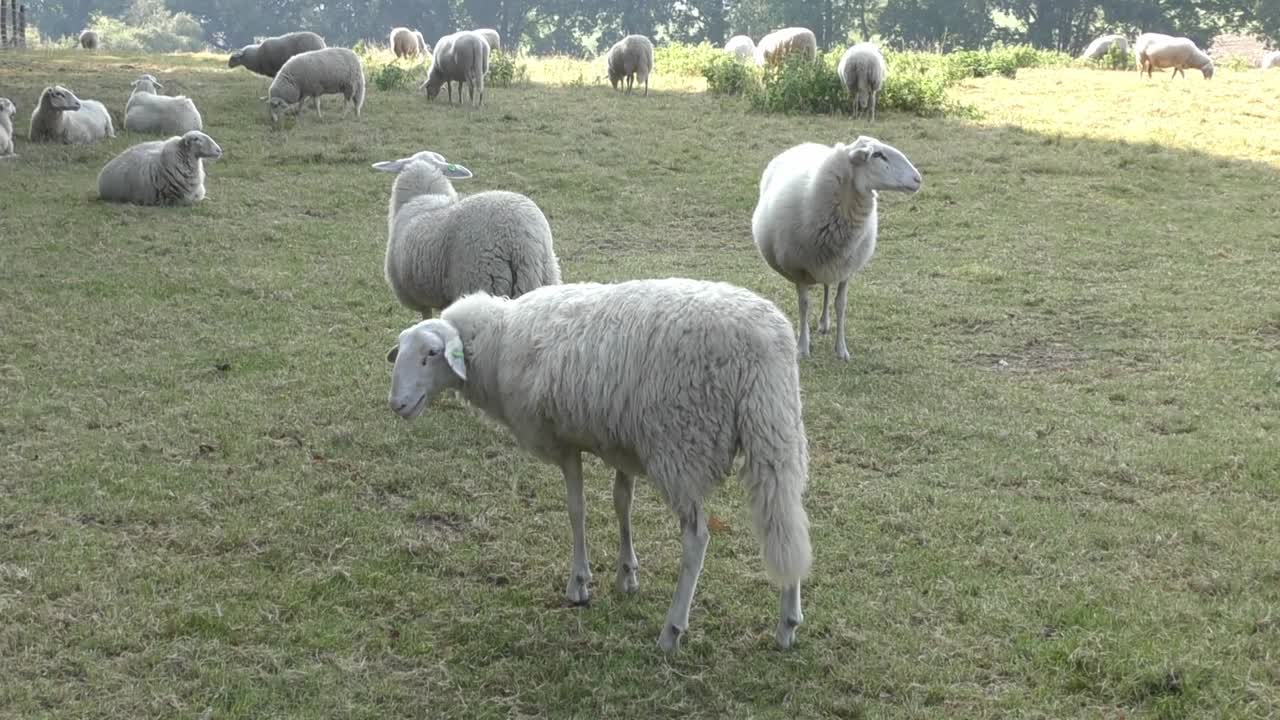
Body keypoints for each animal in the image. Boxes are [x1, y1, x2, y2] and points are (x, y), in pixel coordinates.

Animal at [384, 277, 812, 651]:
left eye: (430, 354)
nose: (397, 405)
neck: (500, 341)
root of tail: (764, 343)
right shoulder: (624, 442)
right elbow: (622, 503)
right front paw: (627, 575)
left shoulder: (563, 441)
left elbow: (577, 509)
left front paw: (579, 583)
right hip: (777, 431)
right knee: (785, 522)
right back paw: (788, 624)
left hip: (682, 444)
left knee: (697, 539)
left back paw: (672, 631)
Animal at [752, 137, 922, 361]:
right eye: (877, 155)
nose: (918, 179)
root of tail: (806, 143)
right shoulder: (799, 270)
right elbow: (804, 304)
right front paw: (802, 347)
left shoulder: (845, 268)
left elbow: (840, 304)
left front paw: (841, 350)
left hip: (831, 264)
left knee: (827, 287)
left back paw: (824, 323)